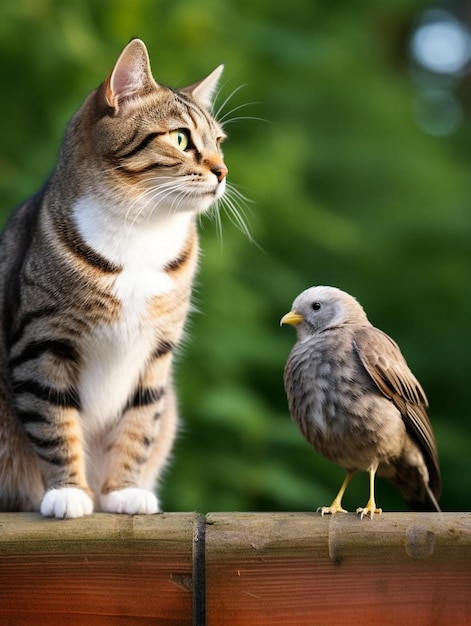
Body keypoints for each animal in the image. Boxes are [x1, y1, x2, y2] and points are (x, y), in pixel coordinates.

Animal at [0, 37, 229, 516]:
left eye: (219, 142)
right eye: (180, 138)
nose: (223, 172)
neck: (141, 231)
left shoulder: (157, 350)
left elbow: (140, 422)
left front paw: (123, 490)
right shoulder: (42, 340)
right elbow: (52, 418)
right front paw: (68, 492)